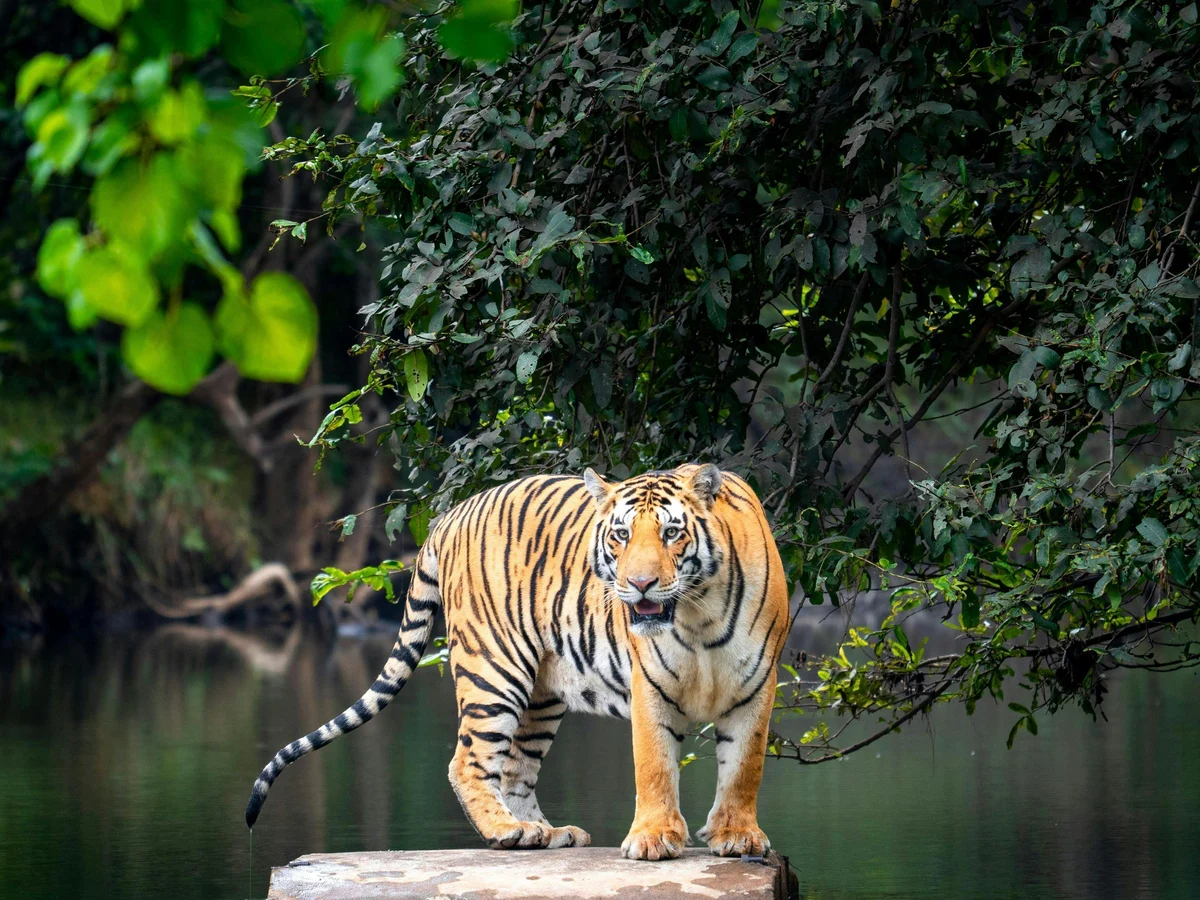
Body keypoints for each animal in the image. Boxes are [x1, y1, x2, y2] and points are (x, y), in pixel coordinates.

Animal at [245, 463, 789, 860]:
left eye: (673, 533)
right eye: (620, 536)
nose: (639, 584)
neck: (698, 616)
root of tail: (451, 513)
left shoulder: (756, 684)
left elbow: (743, 767)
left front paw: (736, 836)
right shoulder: (650, 686)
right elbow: (654, 765)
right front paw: (654, 839)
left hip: (542, 693)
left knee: (514, 769)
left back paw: (542, 831)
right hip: (494, 670)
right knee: (468, 762)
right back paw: (508, 831)